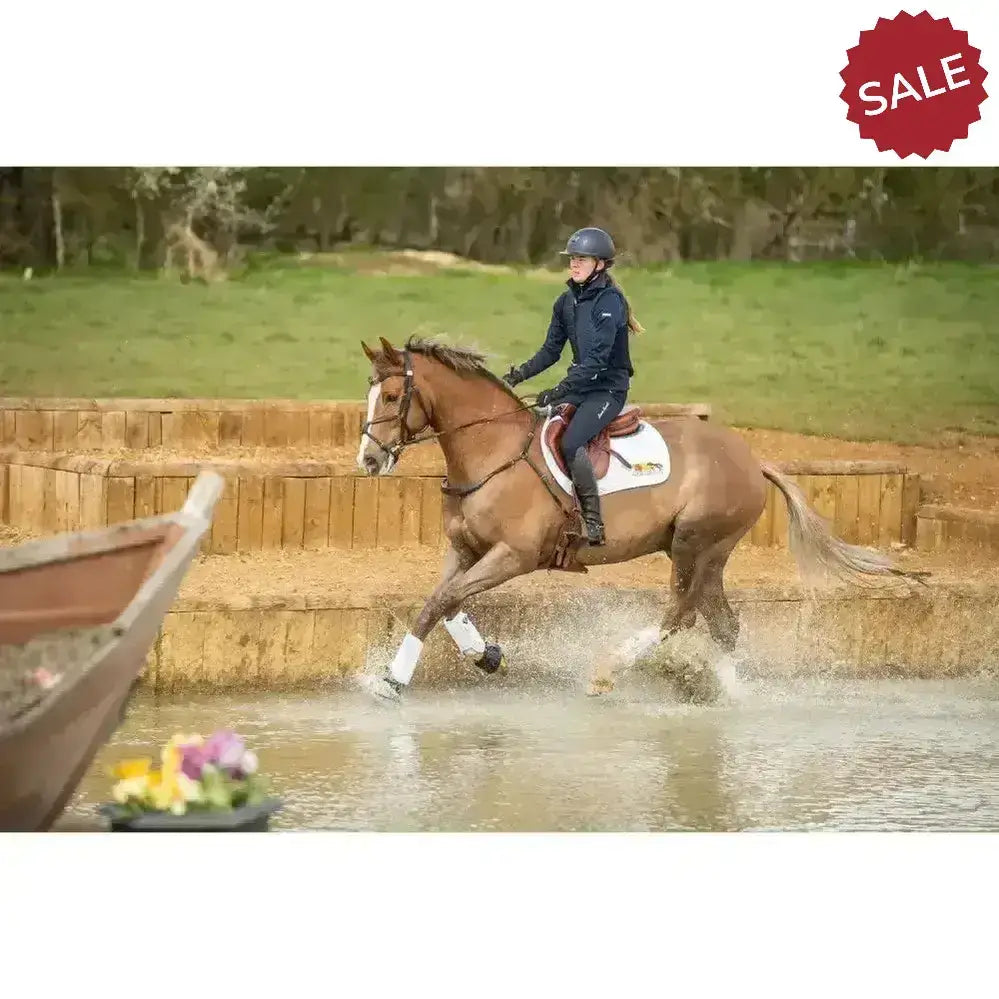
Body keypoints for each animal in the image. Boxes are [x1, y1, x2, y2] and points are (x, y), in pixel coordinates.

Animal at [356, 335, 926, 701]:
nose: (368, 460)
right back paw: (727, 694)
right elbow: (444, 602)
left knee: (681, 615)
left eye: (392, 396)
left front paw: (393, 680)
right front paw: (485, 655)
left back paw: (610, 670)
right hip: (705, 553)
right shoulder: (466, 549)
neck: (492, 453)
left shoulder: (513, 556)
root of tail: (752, 460)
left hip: (697, 544)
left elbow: (441, 603)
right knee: (721, 624)